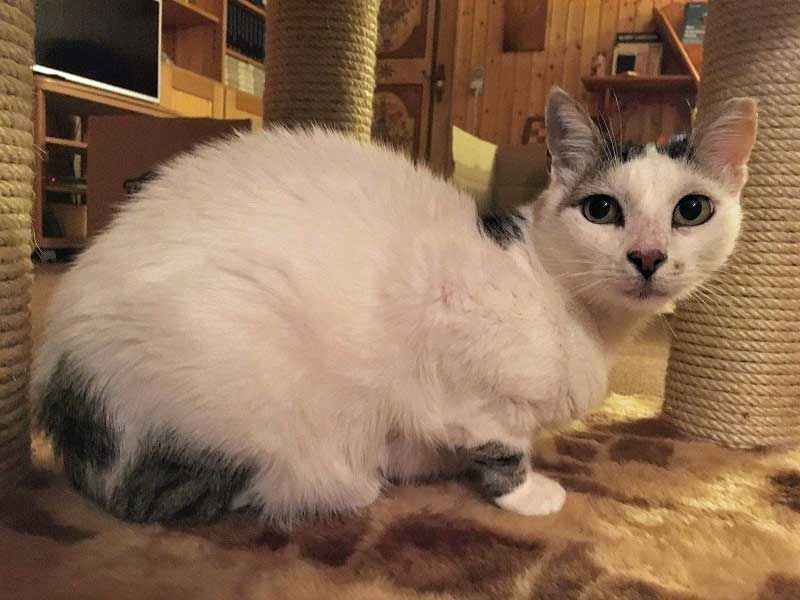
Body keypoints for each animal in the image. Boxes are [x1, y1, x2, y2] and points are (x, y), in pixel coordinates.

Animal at [32, 88, 757, 527]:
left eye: (692, 210)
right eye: (602, 209)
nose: (647, 256)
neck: (581, 315)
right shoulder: (463, 365)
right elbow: (500, 441)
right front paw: (526, 492)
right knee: (163, 494)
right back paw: (338, 484)